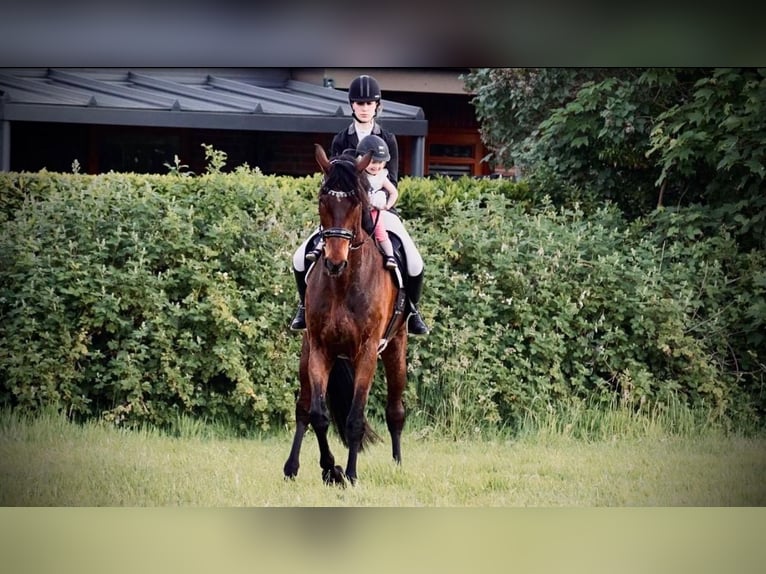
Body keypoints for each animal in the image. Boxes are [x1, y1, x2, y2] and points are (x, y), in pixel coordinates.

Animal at [283, 144, 409, 486]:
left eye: (356, 201)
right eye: (322, 199)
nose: (334, 262)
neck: (343, 283)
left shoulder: (366, 352)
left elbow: (354, 418)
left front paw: (349, 474)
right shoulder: (320, 350)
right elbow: (318, 415)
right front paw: (331, 469)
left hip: (395, 349)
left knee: (395, 411)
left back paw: (397, 463)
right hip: (306, 353)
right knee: (303, 409)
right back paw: (291, 467)